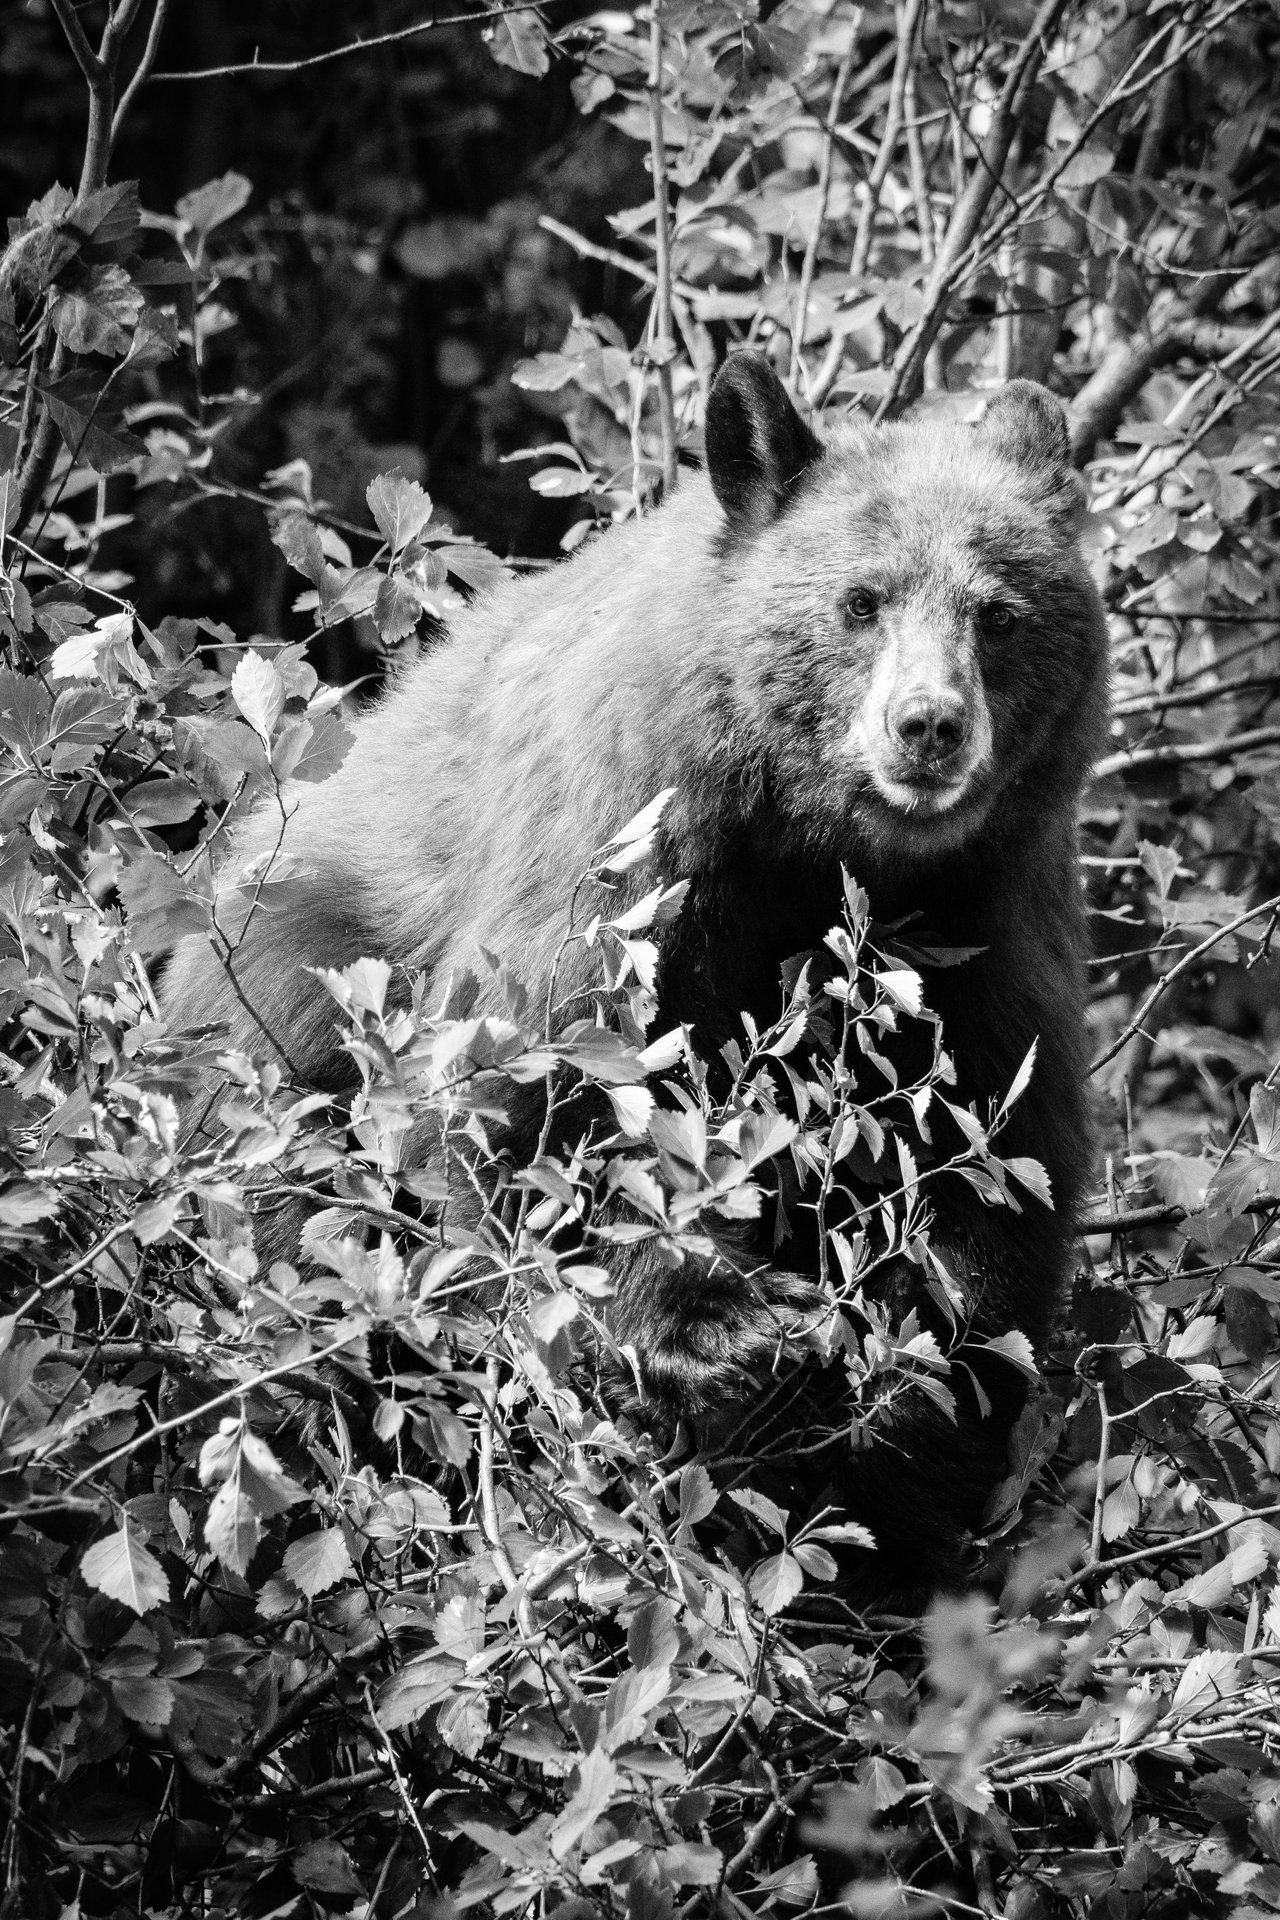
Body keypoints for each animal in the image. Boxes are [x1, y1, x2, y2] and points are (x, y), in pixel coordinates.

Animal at [162, 352, 1109, 1597]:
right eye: (859, 602)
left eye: (997, 613)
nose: (927, 727)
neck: (816, 844)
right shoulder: (630, 839)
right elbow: (555, 1088)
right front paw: (715, 1334)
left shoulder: (986, 910)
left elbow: (991, 1158)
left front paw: (899, 1438)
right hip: (287, 965)